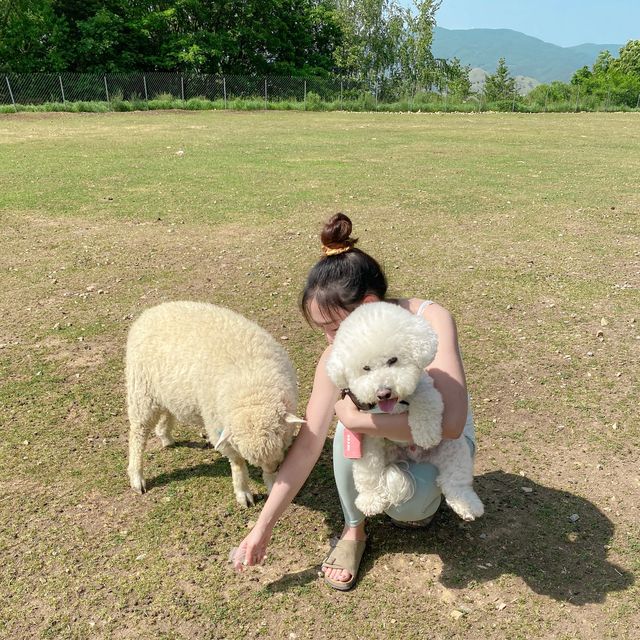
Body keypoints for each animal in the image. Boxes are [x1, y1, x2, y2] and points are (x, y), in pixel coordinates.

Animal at [127, 300, 304, 504]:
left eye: (282, 440)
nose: (275, 468)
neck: (251, 386)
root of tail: (150, 312)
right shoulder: (218, 427)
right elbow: (237, 462)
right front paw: (243, 492)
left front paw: (273, 482)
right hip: (141, 392)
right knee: (138, 434)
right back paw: (136, 476)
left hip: (165, 390)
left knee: (167, 412)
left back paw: (165, 436)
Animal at [328, 302, 482, 520]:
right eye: (365, 368)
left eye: (393, 360)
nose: (383, 392)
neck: (396, 405)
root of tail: (411, 456)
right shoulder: (366, 434)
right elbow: (368, 471)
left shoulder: (425, 386)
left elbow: (426, 401)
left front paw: (426, 434)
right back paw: (370, 499)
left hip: (453, 447)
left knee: (456, 479)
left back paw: (468, 505)